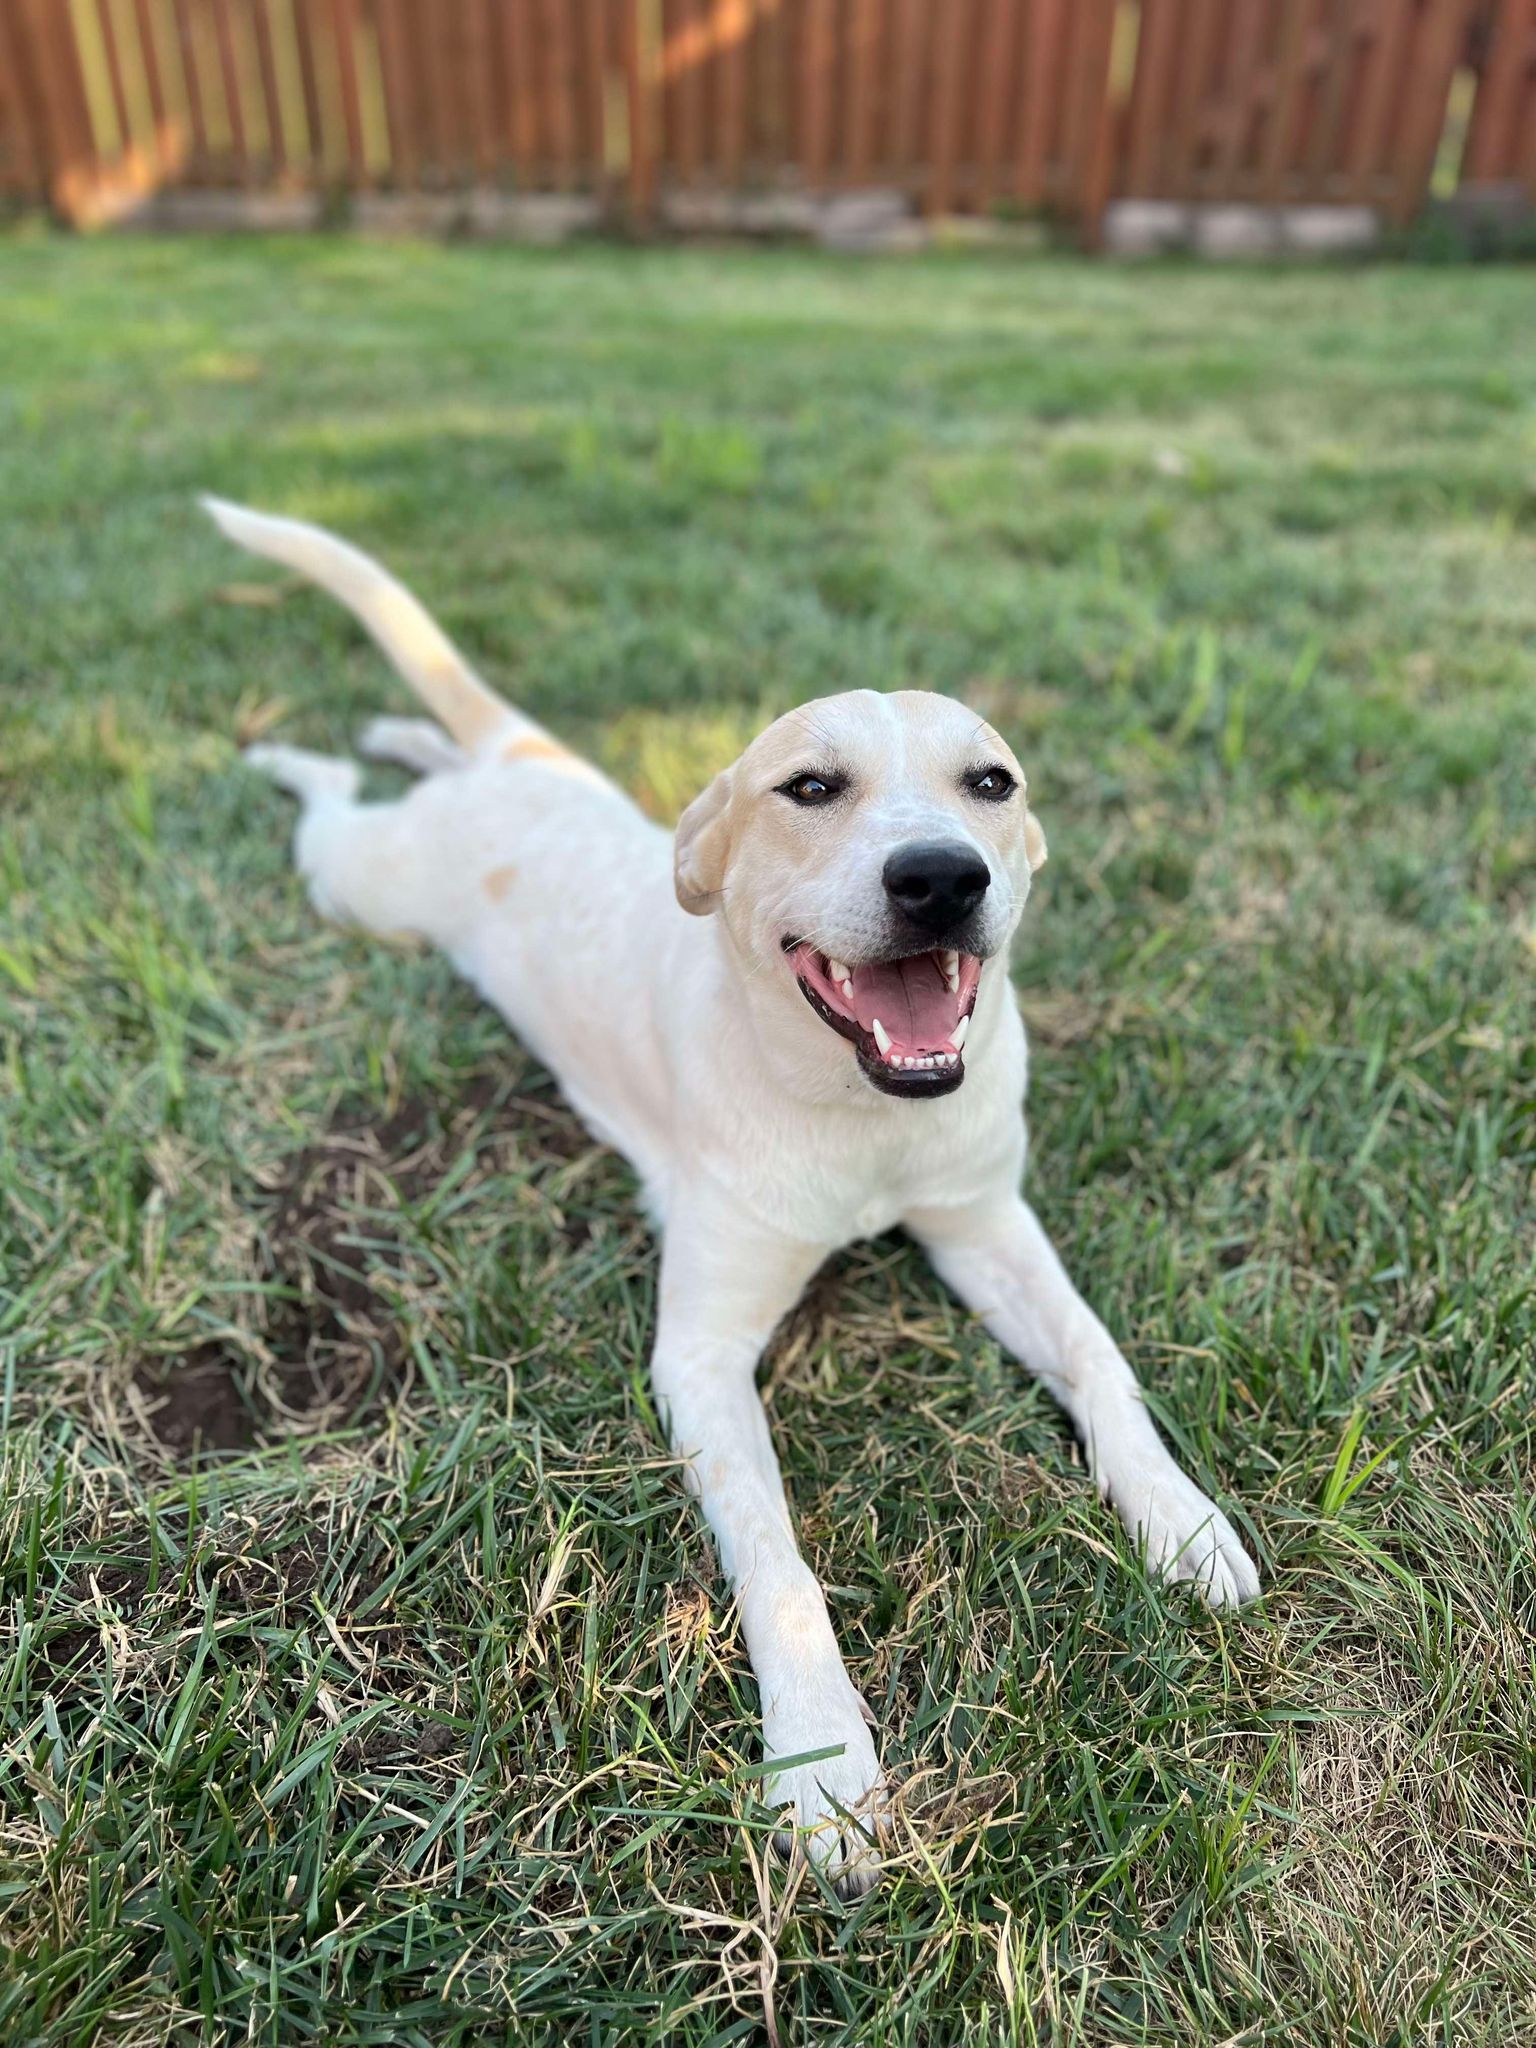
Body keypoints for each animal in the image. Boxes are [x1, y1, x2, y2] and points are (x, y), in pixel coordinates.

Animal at [204, 499, 1261, 1900]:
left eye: (992, 782)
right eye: (809, 787)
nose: (943, 877)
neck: (859, 1113)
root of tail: (512, 773)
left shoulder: (988, 1225)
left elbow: (1102, 1366)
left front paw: (1180, 1517)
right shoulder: (700, 1358)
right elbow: (779, 1562)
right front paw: (821, 1756)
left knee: (431, 741)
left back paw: (396, 734)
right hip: (358, 882)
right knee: (328, 803)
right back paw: (292, 751)